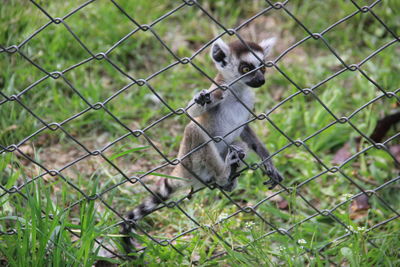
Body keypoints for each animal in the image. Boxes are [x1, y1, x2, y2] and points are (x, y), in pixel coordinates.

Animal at [120, 36, 282, 254]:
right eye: (246, 68)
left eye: (263, 68)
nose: (261, 80)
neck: (237, 92)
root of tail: (182, 170)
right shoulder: (218, 91)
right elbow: (193, 114)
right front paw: (201, 100)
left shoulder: (248, 101)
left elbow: (246, 130)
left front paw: (268, 161)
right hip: (191, 161)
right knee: (193, 129)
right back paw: (223, 174)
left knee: (240, 144)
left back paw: (229, 178)